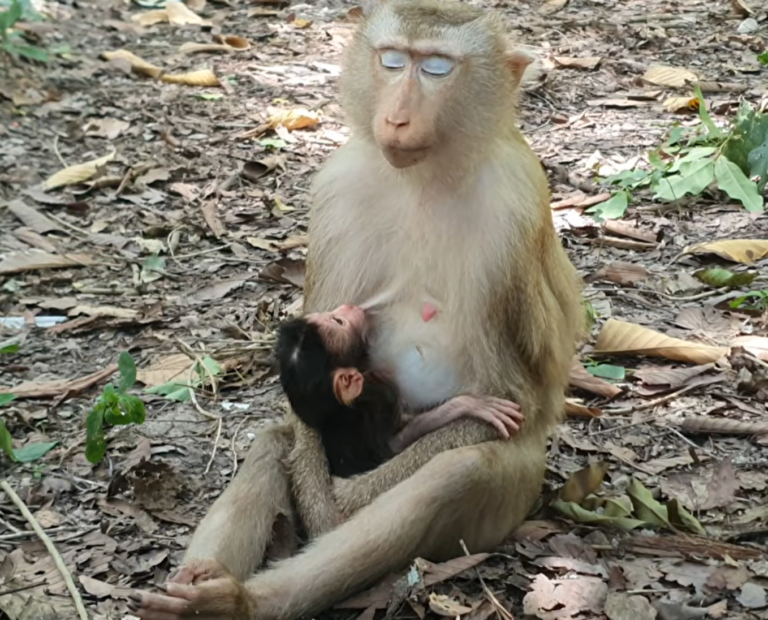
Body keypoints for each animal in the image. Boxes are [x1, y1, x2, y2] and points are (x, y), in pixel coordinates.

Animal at [130, 1, 583, 618]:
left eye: (436, 68)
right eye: (392, 61)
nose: (396, 118)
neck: (428, 176)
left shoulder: (514, 214)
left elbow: (516, 397)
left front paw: (342, 502)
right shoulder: (338, 191)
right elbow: (302, 409)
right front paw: (324, 502)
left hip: (511, 499)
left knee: (458, 470)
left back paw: (245, 600)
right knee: (277, 442)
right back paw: (207, 592)